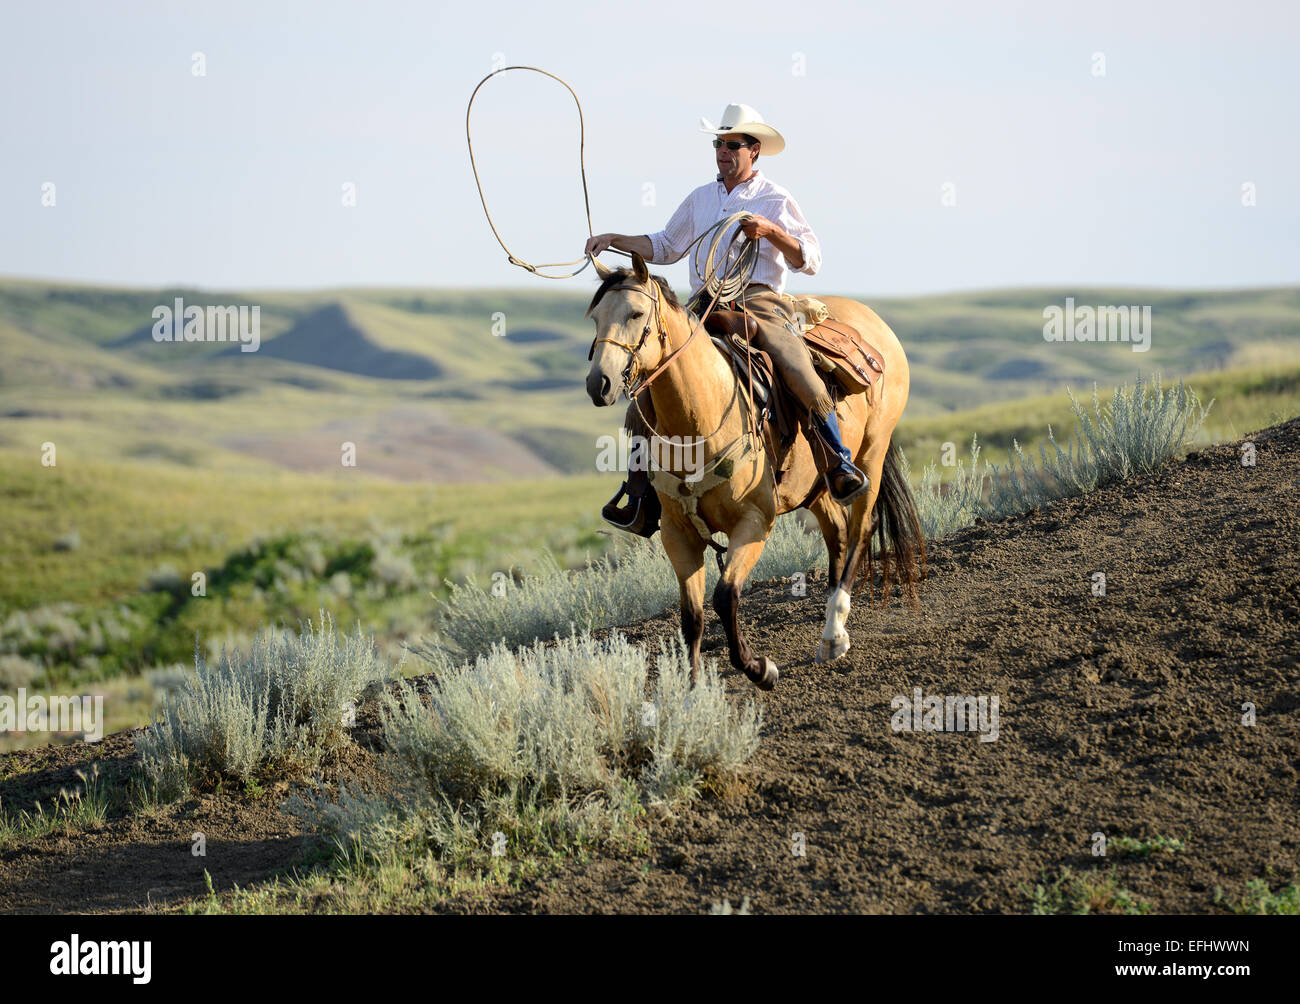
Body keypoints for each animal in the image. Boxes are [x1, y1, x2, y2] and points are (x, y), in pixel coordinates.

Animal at [585, 251, 920, 691]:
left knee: (861, 529)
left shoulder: (755, 521)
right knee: (838, 534)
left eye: (636, 313)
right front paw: (692, 693)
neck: (701, 414)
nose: (599, 383)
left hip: (872, 454)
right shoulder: (679, 533)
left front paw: (760, 669)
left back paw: (834, 633)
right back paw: (829, 630)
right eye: (595, 317)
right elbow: (691, 616)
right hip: (814, 487)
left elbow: (725, 597)